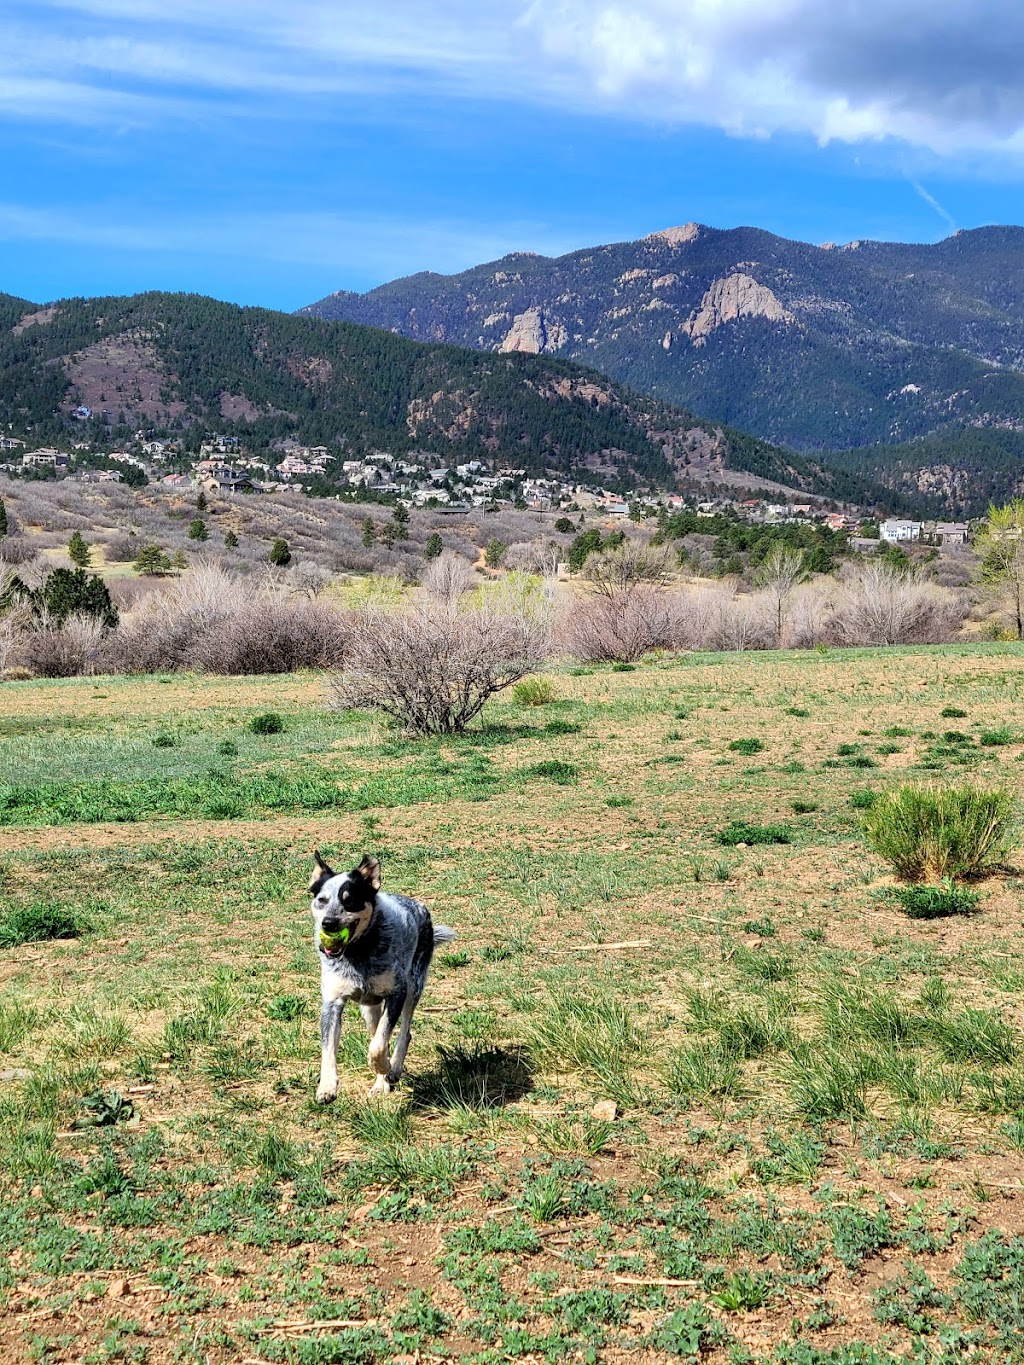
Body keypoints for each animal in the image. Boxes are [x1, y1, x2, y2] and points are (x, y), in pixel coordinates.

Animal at [307, 846, 456, 1102]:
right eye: (322, 900)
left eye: (350, 901)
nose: (329, 923)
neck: (358, 954)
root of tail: (420, 908)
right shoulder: (332, 1002)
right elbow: (328, 1048)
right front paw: (327, 1087)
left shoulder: (397, 993)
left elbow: (378, 1046)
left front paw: (385, 1066)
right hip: (369, 1008)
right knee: (378, 1032)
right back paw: (381, 1084)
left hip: (414, 986)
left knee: (403, 1033)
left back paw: (392, 1069)